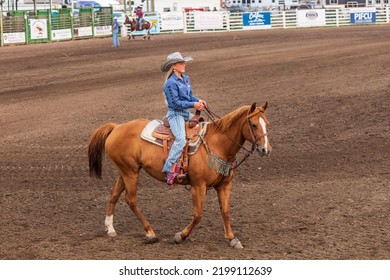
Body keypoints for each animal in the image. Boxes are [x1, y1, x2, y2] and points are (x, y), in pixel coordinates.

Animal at [88, 101, 272, 248]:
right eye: (253, 125)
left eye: (267, 124)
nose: (266, 150)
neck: (217, 144)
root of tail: (116, 127)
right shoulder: (198, 186)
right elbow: (198, 215)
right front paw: (180, 236)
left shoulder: (224, 185)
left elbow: (225, 212)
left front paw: (232, 239)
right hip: (130, 172)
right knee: (131, 200)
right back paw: (150, 233)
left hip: (126, 171)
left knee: (114, 195)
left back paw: (110, 229)